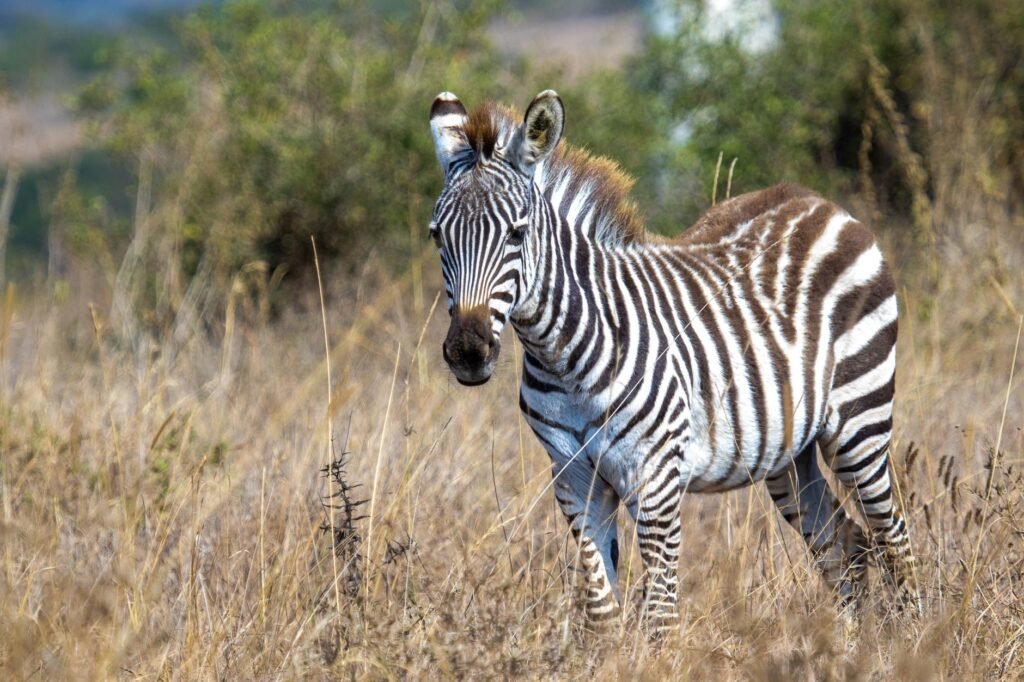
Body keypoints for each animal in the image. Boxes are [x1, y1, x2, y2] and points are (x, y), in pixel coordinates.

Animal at [428, 89, 920, 637]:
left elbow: (660, 613)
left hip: (860, 424)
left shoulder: (656, 479)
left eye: (516, 235)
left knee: (894, 536)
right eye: (437, 236)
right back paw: (855, 646)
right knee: (844, 544)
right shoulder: (573, 480)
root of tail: (819, 202)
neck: (561, 357)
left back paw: (915, 639)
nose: (468, 352)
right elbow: (602, 610)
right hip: (788, 453)